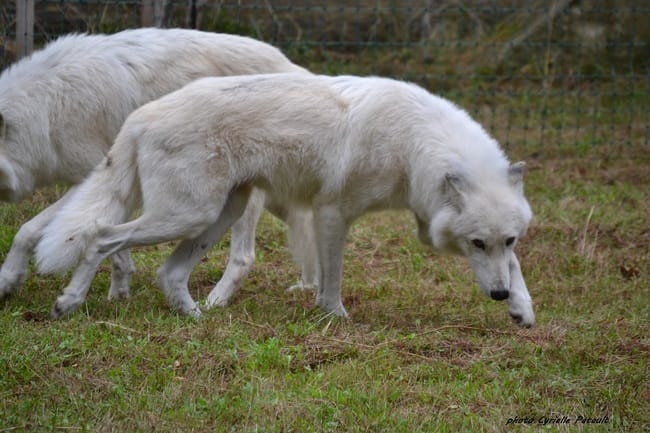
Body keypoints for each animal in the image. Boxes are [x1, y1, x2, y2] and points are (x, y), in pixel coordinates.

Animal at [0, 27, 315, 304]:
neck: (46, 107)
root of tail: (294, 67)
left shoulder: (92, 181)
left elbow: (35, 231)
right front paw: (118, 292)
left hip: (238, 202)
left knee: (244, 257)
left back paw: (216, 302)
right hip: (275, 196)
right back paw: (308, 287)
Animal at [35, 73, 535, 327]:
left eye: (508, 239)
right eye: (476, 244)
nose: (497, 296)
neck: (414, 144)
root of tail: (140, 117)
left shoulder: (426, 223)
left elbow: (517, 268)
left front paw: (523, 308)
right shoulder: (332, 214)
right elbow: (331, 280)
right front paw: (335, 318)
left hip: (217, 216)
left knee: (169, 273)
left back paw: (199, 319)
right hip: (185, 216)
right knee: (102, 237)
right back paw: (68, 303)